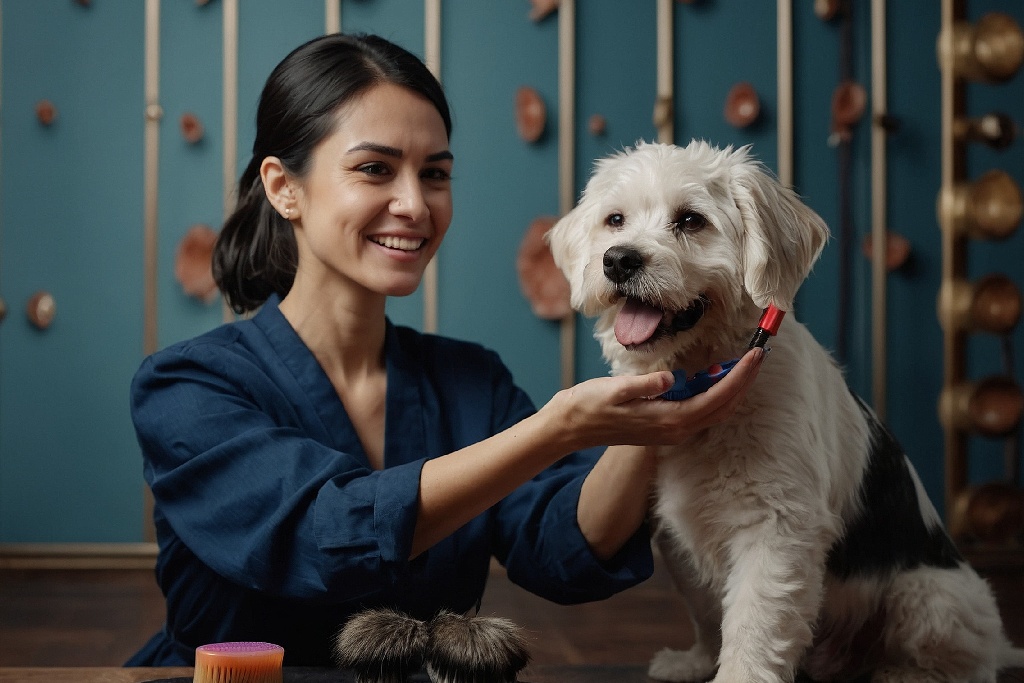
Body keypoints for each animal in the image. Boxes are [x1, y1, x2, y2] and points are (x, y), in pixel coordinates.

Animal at [548, 140, 1019, 683]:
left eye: (691, 220)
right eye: (615, 220)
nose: (619, 260)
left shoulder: (775, 527)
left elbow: (754, 623)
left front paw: (736, 674)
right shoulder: (681, 536)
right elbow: (709, 613)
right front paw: (697, 661)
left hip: (930, 596)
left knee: (968, 661)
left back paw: (904, 673)